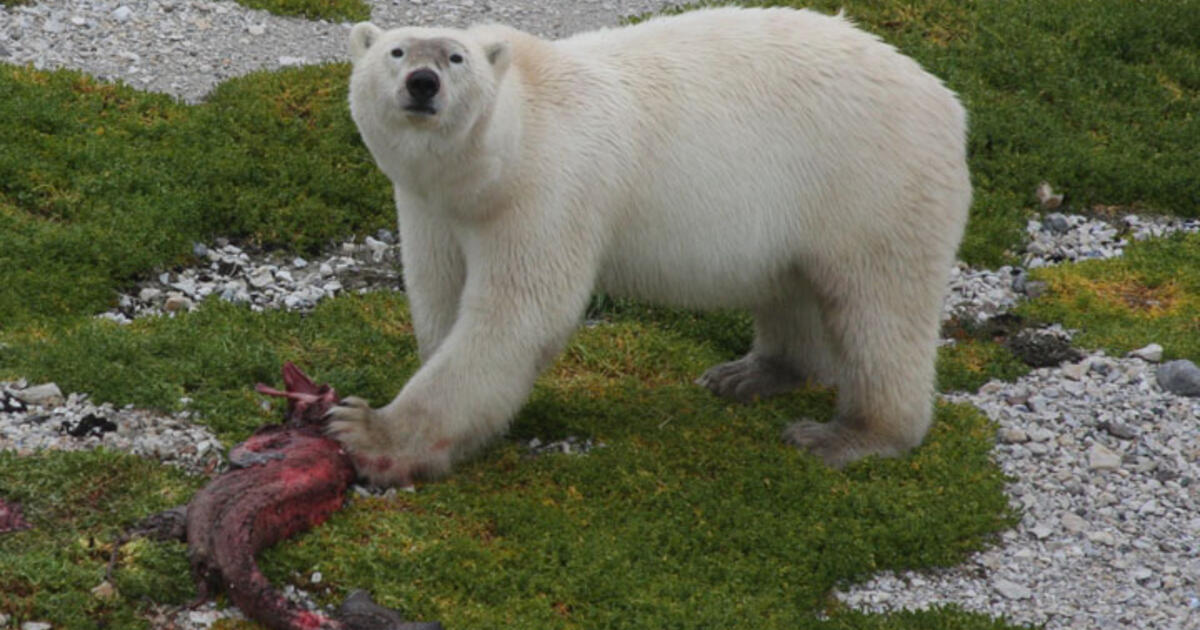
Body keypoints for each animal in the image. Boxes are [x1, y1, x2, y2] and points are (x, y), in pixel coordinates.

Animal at [332, 6, 972, 487]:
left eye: (455, 57)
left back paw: (849, 434)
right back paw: (749, 374)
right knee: (796, 284)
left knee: (880, 309)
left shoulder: (547, 192)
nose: (422, 83)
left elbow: (516, 315)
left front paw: (368, 433)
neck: (501, 155)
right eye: (396, 52)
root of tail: (948, 102)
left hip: (872, 182)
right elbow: (437, 293)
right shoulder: (430, 206)